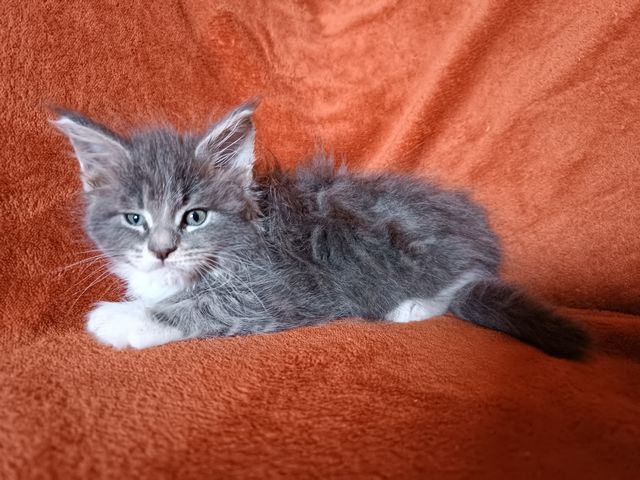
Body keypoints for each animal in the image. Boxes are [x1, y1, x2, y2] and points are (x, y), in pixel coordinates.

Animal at [52, 100, 589, 359]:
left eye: (195, 217)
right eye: (134, 218)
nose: (162, 250)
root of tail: (479, 233)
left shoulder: (287, 286)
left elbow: (206, 306)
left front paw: (123, 318)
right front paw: (135, 300)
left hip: (359, 231)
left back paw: (411, 307)